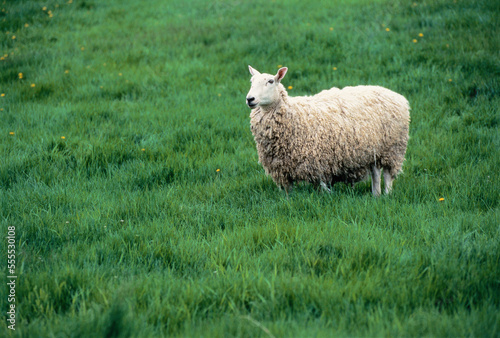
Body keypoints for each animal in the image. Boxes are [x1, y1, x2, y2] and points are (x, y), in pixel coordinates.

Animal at [246, 65, 410, 197]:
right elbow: (288, 192)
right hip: (374, 149)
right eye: (251, 82)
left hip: (392, 148)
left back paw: (387, 195)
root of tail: (396, 95)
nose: (250, 99)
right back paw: (376, 195)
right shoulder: (282, 168)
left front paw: (327, 197)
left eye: (270, 81)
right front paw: (289, 201)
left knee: (387, 174)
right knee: (376, 172)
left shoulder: (318, 162)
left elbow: (322, 186)